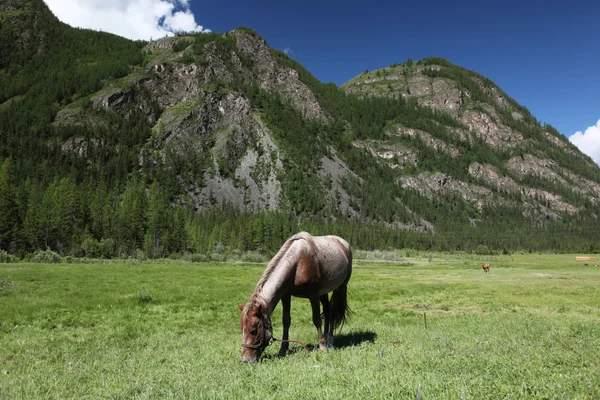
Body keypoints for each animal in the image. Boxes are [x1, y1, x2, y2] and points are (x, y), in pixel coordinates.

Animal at [238, 231, 352, 362]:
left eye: (253, 331)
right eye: (242, 329)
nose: (246, 360)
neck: (298, 263)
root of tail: (344, 244)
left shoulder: (313, 295)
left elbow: (316, 319)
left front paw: (322, 346)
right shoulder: (286, 295)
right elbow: (286, 320)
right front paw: (283, 349)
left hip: (340, 287)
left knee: (333, 312)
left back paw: (329, 341)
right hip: (324, 292)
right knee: (327, 312)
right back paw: (326, 338)